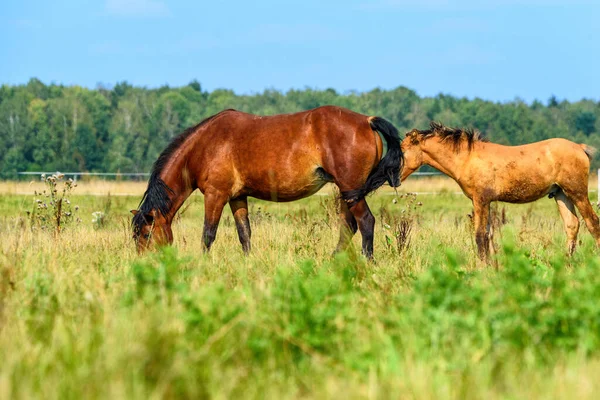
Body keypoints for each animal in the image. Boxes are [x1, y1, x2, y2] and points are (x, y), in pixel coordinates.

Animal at [131, 104, 404, 258]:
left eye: (145, 234)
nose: (144, 265)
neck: (206, 144)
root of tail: (366, 121)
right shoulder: (237, 197)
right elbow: (245, 234)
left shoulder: (215, 195)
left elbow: (208, 234)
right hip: (348, 192)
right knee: (349, 227)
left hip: (350, 189)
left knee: (366, 222)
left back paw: (367, 262)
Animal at [404, 122, 600, 260]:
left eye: (403, 151)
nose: (396, 177)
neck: (468, 158)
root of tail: (580, 147)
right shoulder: (486, 201)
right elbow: (488, 234)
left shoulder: (480, 200)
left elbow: (480, 236)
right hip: (561, 194)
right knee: (572, 225)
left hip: (577, 192)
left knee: (592, 223)